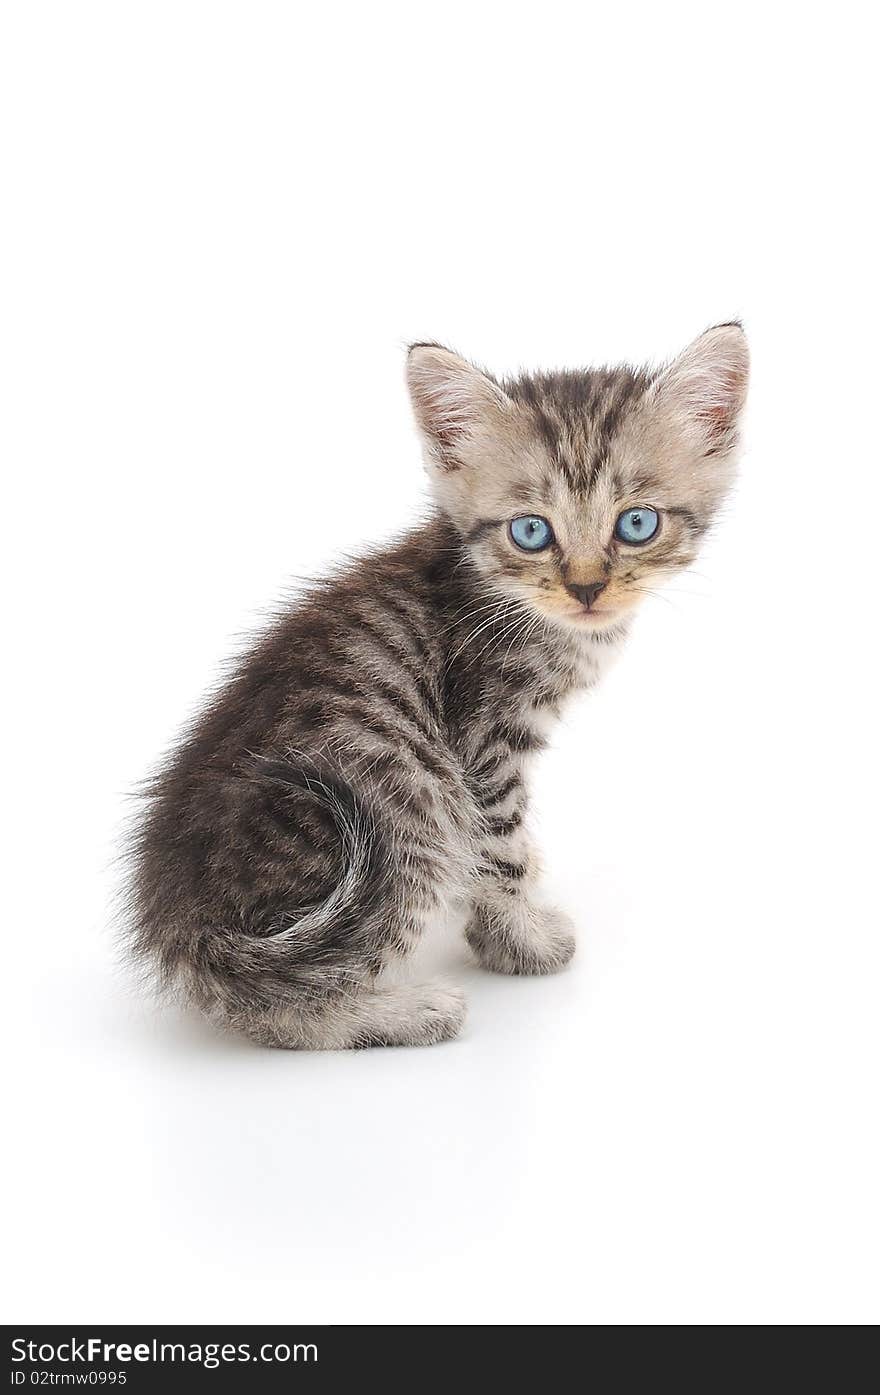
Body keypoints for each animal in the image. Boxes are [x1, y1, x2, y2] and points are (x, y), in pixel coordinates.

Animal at [129, 326, 753, 1049]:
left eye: (637, 524)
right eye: (531, 531)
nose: (587, 588)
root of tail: (183, 927)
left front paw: (507, 922)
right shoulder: (481, 739)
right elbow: (501, 847)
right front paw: (520, 940)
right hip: (407, 811)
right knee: (279, 1003)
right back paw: (407, 1011)